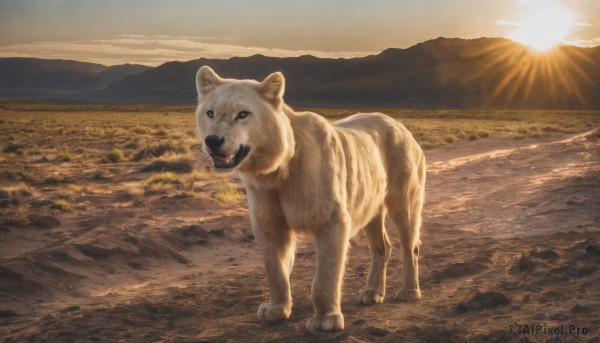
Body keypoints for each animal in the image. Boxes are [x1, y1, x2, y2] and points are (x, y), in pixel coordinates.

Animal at [195, 66, 424, 332]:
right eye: (210, 113)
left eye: (243, 114)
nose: (213, 141)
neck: (277, 172)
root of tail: (401, 126)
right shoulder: (267, 215)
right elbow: (275, 267)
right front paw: (274, 310)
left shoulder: (330, 217)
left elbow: (325, 274)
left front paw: (326, 320)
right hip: (370, 199)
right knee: (381, 245)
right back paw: (371, 293)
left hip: (404, 190)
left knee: (409, 240)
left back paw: (408, 292)